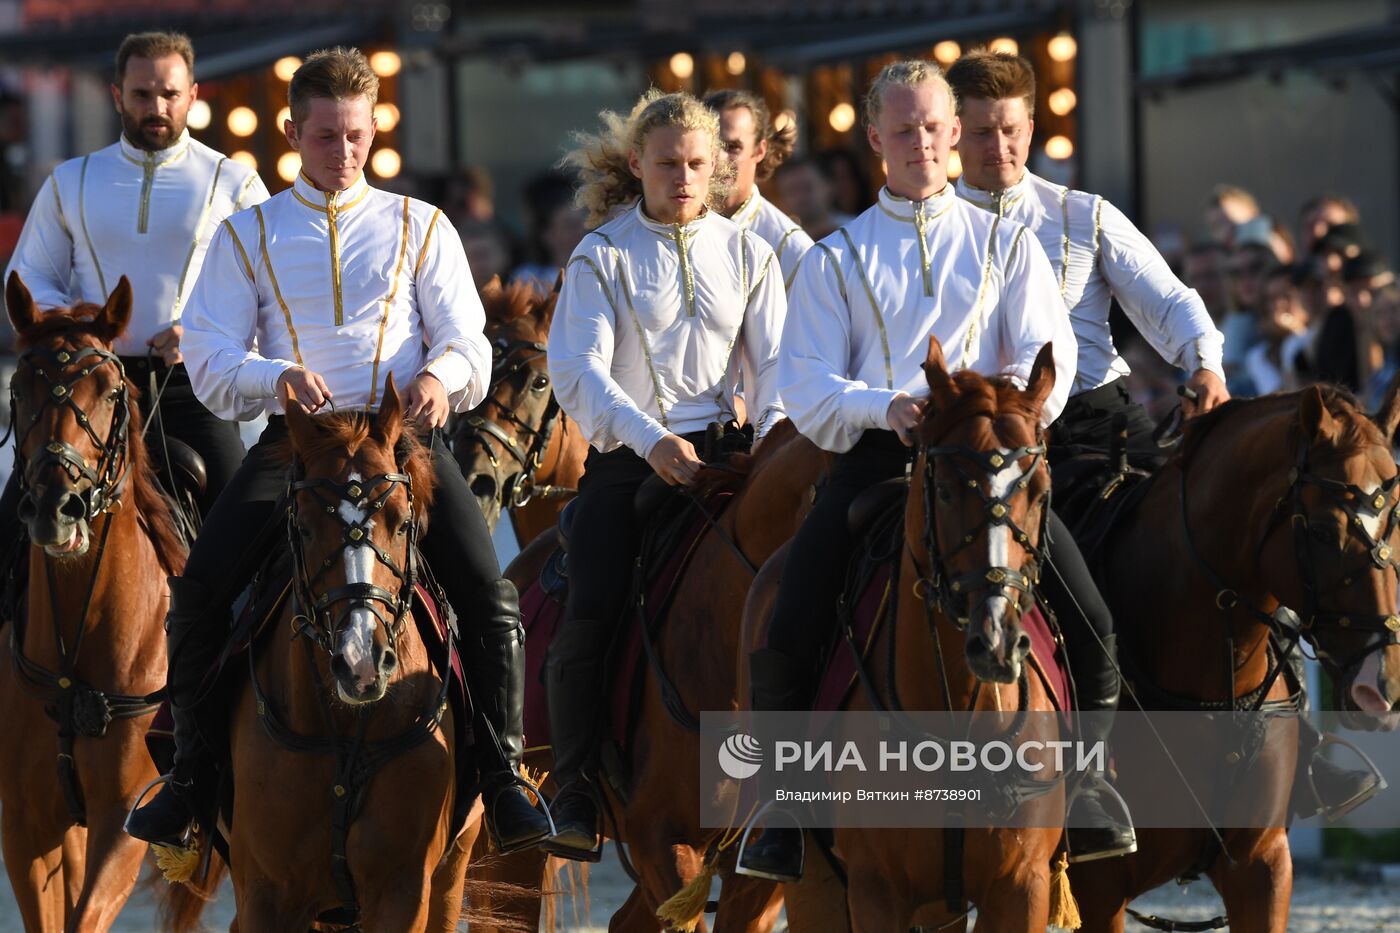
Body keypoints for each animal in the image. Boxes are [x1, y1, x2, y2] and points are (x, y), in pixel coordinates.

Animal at [750, 337, 1064, 924]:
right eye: (945, 491)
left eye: (1038, 491)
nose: (995, 642)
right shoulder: (876, 888)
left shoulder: (1022, 886)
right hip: (817, 888)